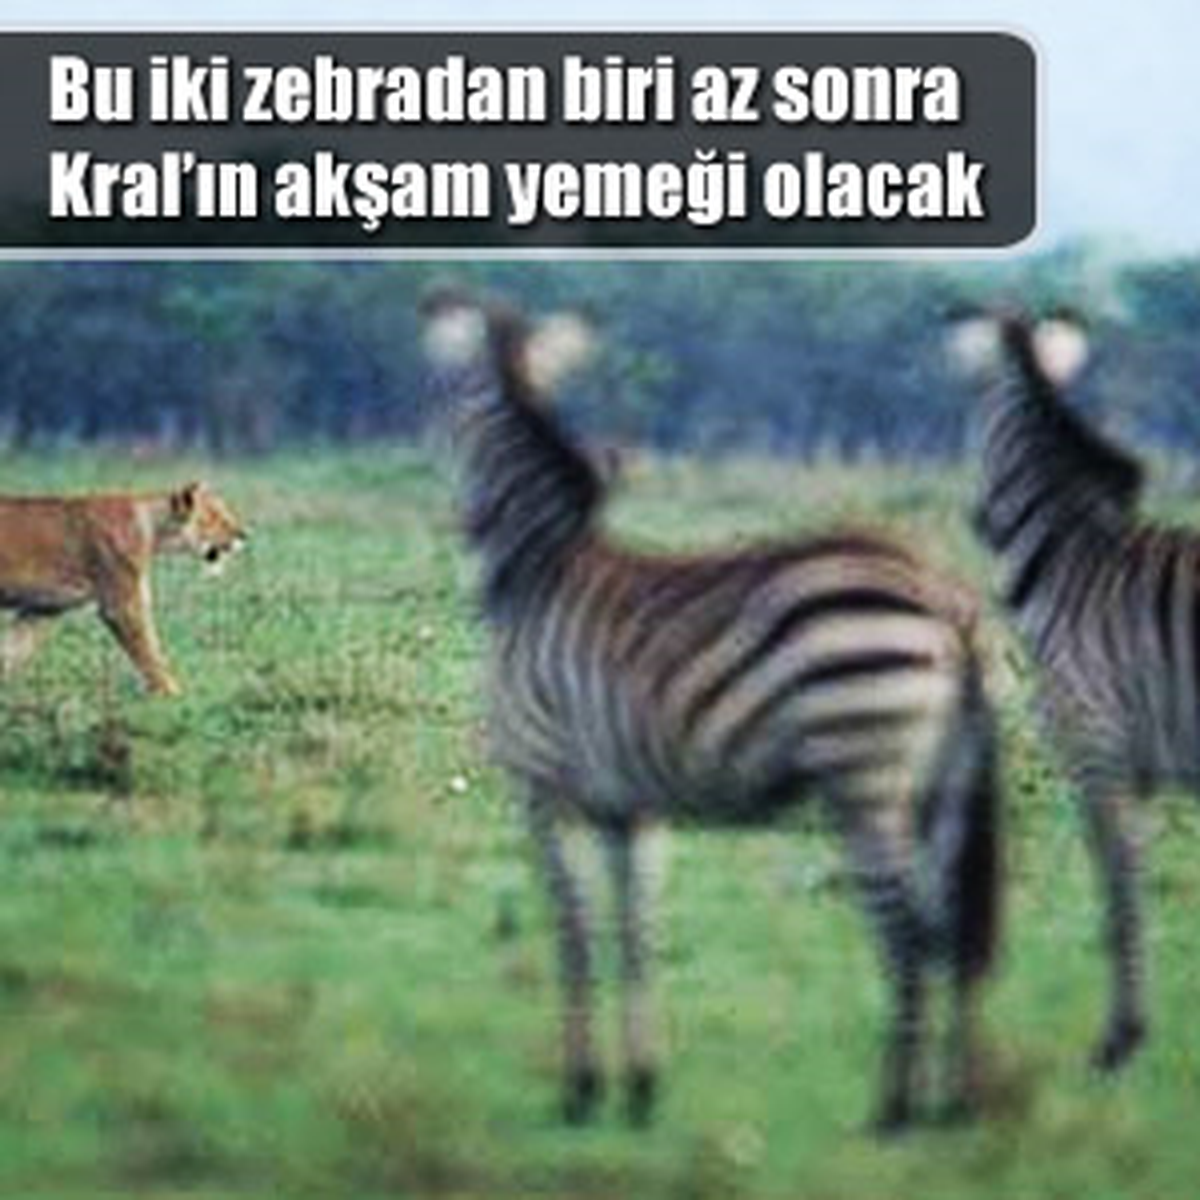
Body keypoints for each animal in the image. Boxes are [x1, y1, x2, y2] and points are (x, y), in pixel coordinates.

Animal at [424, 287, 1002, 1133]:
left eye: (453, 414)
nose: (463, 526)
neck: (539, 570)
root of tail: (943, 597)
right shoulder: (627, 807)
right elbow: (635, 931)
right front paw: (640, 1087)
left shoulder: (544, 791)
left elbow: (574, 933)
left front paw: (580, 1090)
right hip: (939, 784)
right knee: (953, 928)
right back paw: (954, 1104)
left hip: (863, 771)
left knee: (910, 931)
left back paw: (893, 1111)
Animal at [950, 309, 1190, 1074]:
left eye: (974, 421)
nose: (978, 519)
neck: (1075, 556)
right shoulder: (1130, 764)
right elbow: (1125, 877)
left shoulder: (1096, 742)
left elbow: (1117, 876)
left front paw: (1121, 1039)